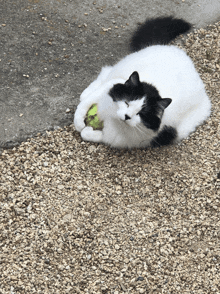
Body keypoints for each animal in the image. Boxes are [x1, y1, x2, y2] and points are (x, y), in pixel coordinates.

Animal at [74, 15, 211, 148]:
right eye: (127, 103)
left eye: (140, 114)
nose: (127, 116)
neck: (113, 118)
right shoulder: (112, 86)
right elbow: (86, 103)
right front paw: (79, 121)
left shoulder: (121, 139)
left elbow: (90, 135)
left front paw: (86, 130)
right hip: (126, 65)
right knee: (106, 72)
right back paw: (86, 92)